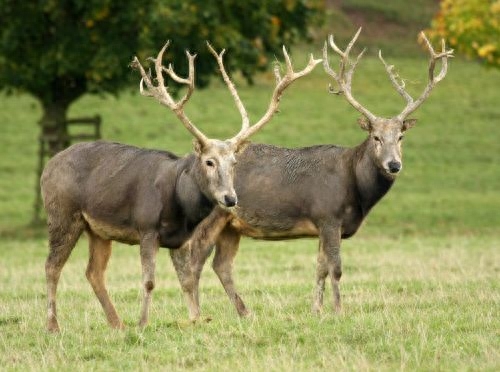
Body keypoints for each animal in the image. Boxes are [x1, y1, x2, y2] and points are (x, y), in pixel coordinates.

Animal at [40, 40, 320, 332]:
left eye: (234, 162)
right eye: (209, 161)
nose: (230, 198)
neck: (179, 205)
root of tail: (47, 167)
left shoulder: (181, 239)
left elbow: (186, 280)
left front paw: (196, 319)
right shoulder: (146, 227)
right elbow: (149, 281)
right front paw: (142, 324)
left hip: (98, 230)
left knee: (93, 271)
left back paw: (117, 324)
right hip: (62, 214)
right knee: (51, 266)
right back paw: (53, 325)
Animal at [179, 29, 454, 320]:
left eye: (400, 137)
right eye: (376, 137)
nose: (393, 164)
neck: (355, 189)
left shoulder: (324, 225)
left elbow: (320, 267)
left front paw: (317, 309)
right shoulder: (329, 215)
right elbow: (336, 268)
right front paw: (339, 310)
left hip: (231, 225)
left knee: (221, 265)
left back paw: (245, 312)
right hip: (211, 216)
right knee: (194, 261)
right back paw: (197, 314)